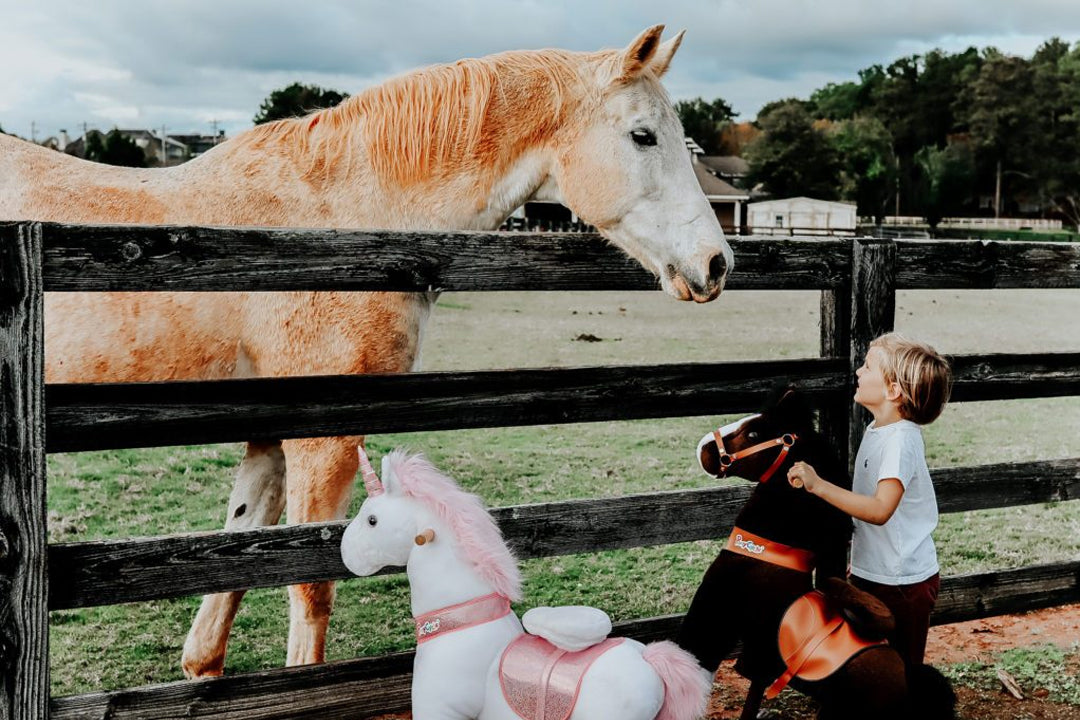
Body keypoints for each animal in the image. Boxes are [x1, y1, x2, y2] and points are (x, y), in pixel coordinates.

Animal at [0, 25, 734, 677]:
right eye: (642, 135)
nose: (716, 263)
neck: (338, 221)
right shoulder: (323, 442)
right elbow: (310, 586)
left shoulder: (271, 436)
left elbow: (234, 567)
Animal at [676, 390, 956, 720]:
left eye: (754, 433)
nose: (704, 446)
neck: (766, 552)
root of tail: (910, 688)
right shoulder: (757, 664)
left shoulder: (711, 620)